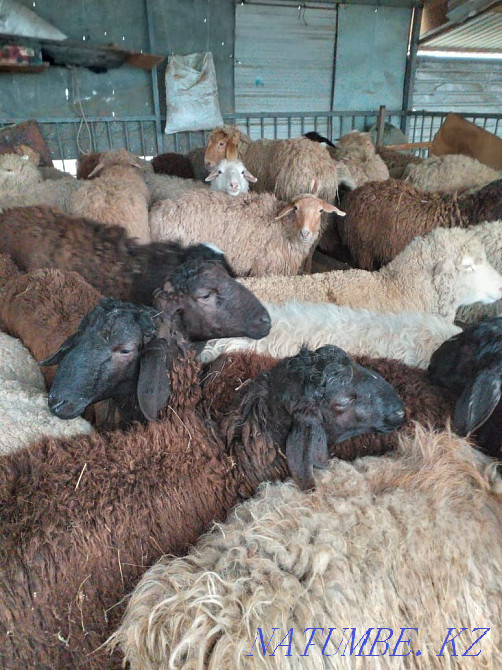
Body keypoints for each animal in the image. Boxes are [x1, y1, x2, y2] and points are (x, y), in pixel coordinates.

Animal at [149, 190, 343, 277]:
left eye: (320, 211)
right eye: (295, 208)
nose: (305, 233)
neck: (284, 227)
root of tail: (158, 209)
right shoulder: (265, 268)